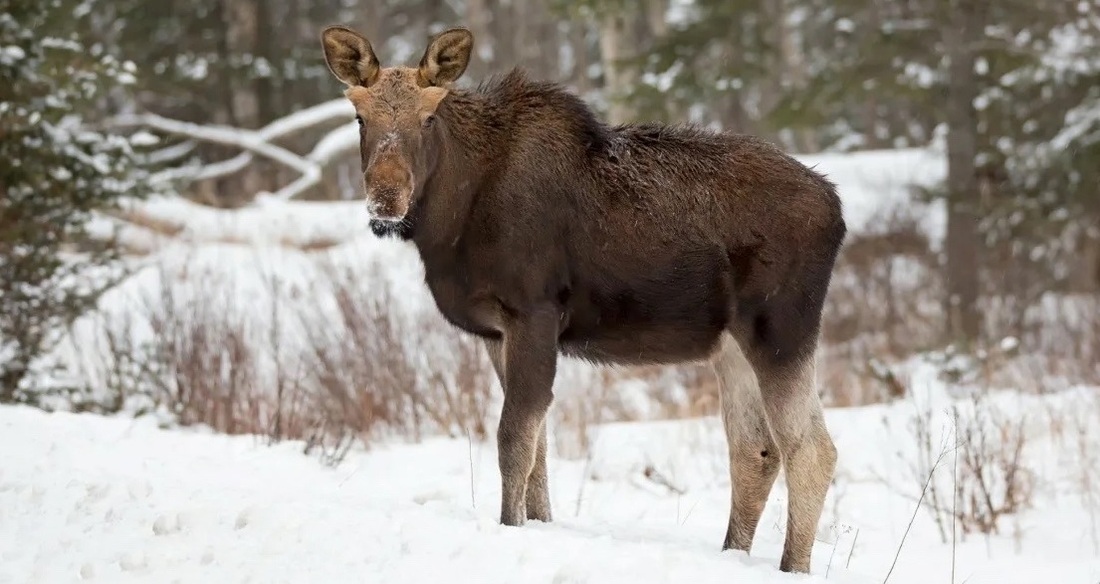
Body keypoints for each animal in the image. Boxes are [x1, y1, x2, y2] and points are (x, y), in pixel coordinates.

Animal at [321, 24, 844, 576]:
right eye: (360, 117)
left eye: (427, 116)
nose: (385, 199)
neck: (453, 220)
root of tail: (837, 209)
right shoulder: (495, 331)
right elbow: (539, 449)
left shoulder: (533, 311)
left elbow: (514, 440)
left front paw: (511, 526)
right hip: (731, 344)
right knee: (755, 449)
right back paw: (732, 553)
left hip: (780, 328)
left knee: (811, 449)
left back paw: (792, 566)